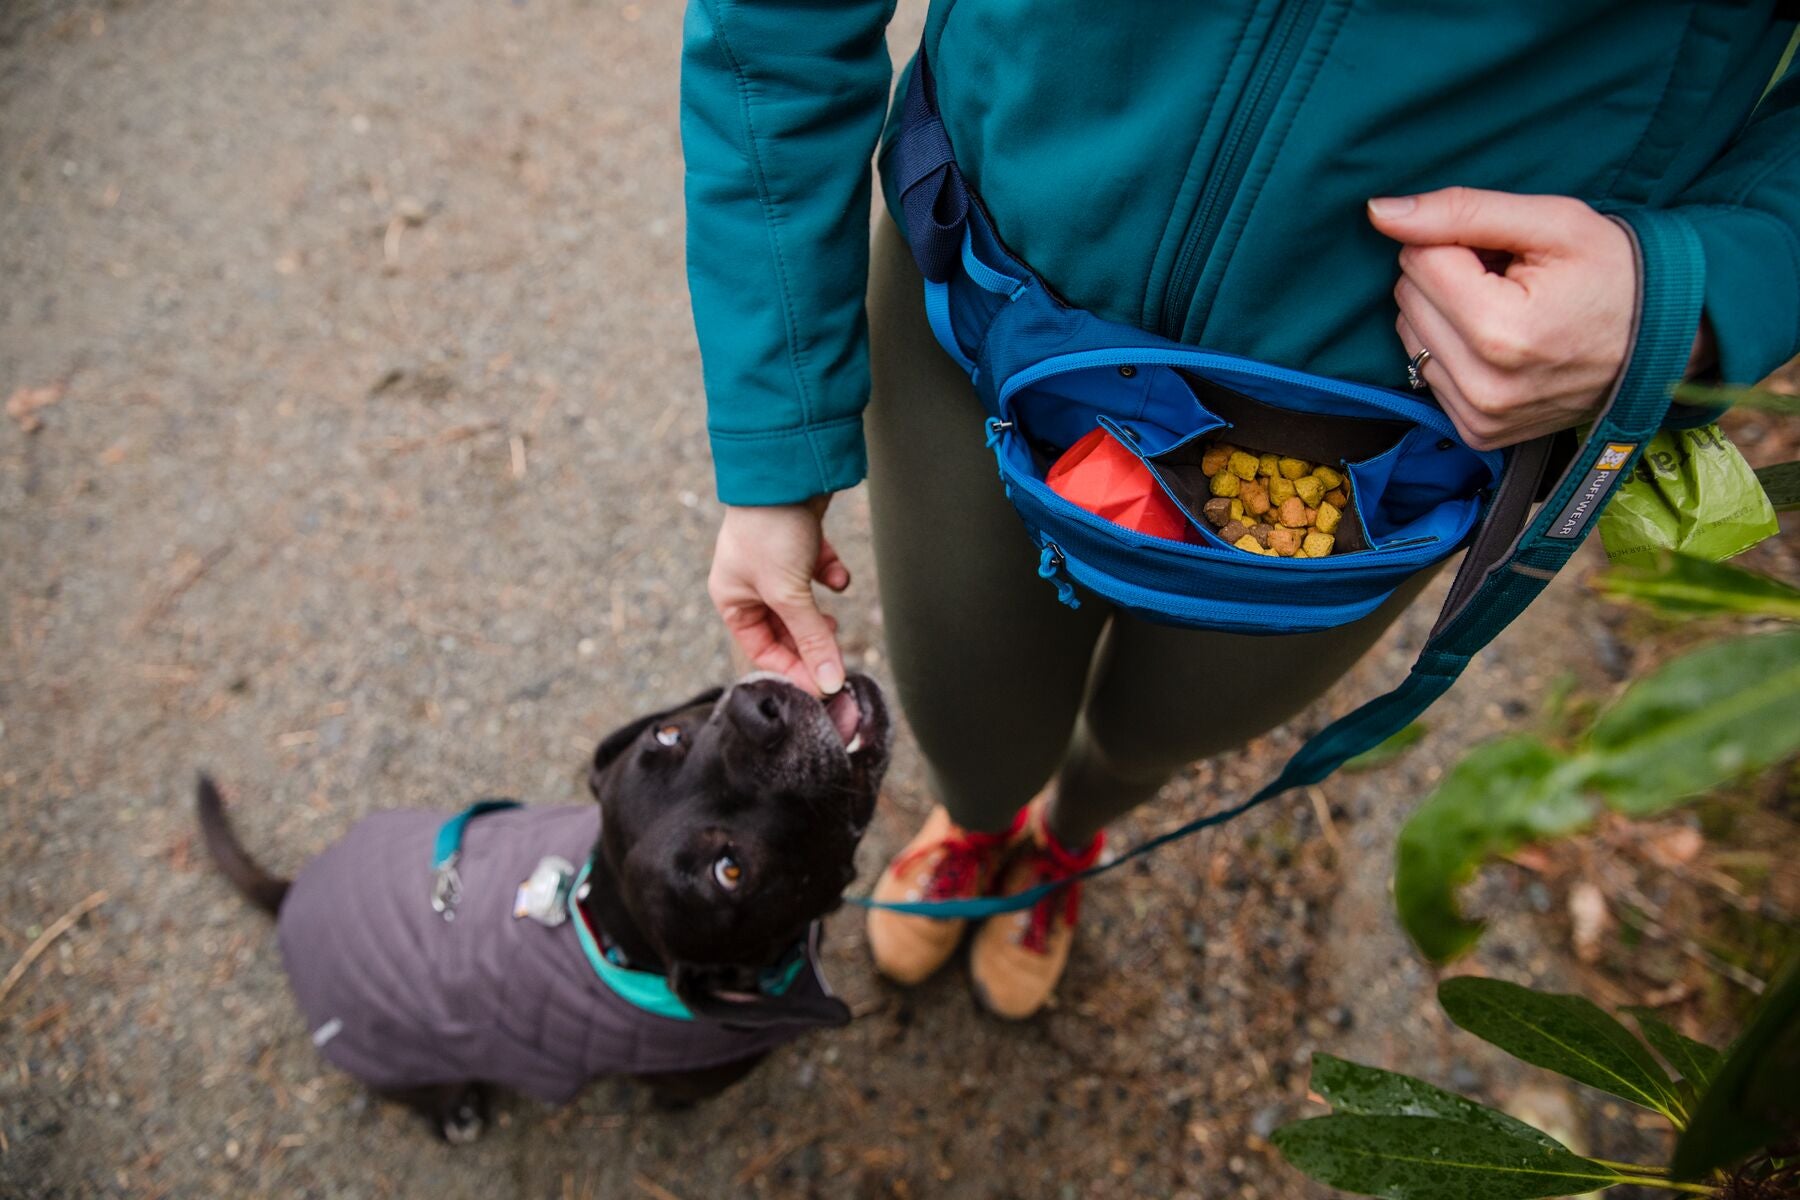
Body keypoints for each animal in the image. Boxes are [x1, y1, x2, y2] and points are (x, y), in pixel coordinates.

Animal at [198, 672, 892, 1144]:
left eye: (668, 732)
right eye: (729, 871)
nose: (757, 712)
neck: (610, 938)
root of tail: (290, 895)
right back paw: (459, 1115)